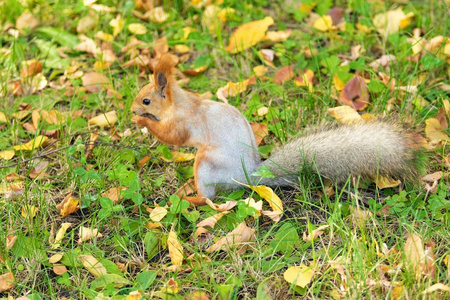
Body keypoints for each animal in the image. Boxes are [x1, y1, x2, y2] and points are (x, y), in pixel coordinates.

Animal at [131, 55, 426, 206]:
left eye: (146, 100)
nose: (133, 109)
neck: (179, 103)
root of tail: (247, 176)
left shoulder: (185, 121)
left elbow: (174, 137)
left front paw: (143, 122)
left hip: (206, 165)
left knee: (210, 199)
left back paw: (191, 199)